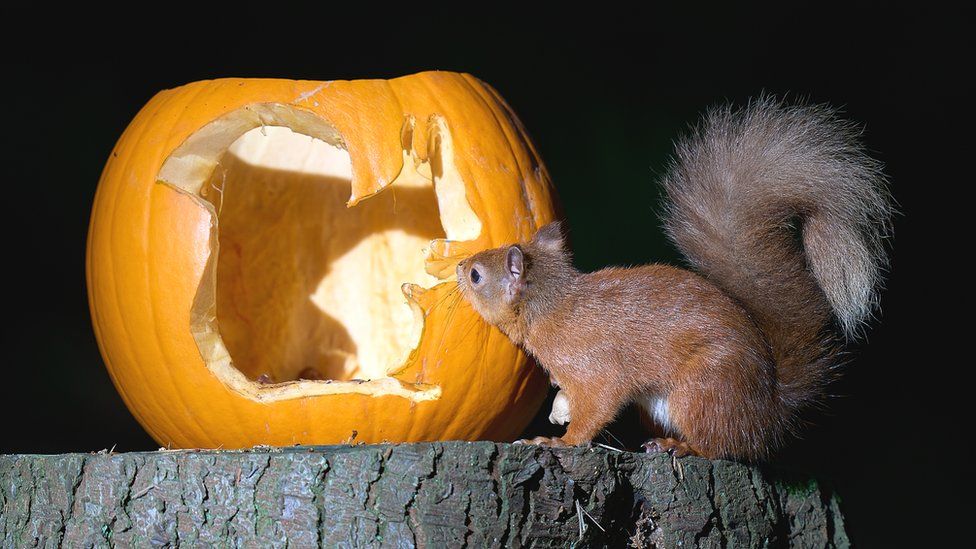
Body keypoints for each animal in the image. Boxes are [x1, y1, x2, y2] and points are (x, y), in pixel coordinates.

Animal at [456, 97, 892, 458]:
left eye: (477, 275)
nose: (459, 267)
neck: (553, 307)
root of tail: (766, 409)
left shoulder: (593, 365)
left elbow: (597, 406)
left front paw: (557, 440)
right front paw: (559, 410)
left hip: (701, 389)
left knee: (722, 447)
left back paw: (678, 446)